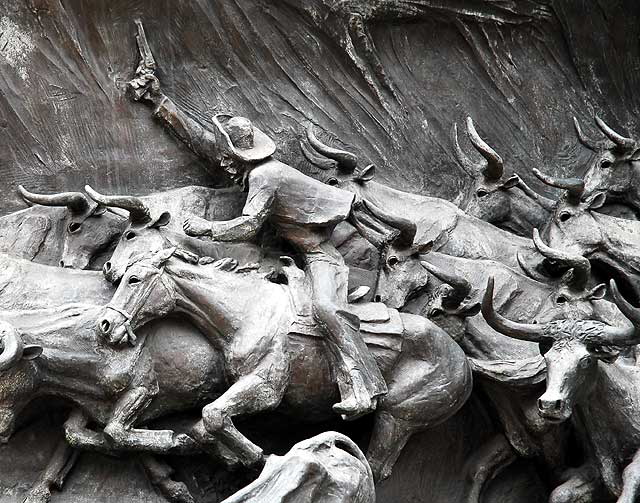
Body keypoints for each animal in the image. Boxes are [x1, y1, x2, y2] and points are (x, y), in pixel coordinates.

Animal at [96, 250, 476, 482]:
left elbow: (213, 415)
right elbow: (201, 426)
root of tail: (462, 361)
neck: (248, 309)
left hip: (397, 419)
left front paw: (257, 457)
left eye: (134, 279)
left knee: (374, 466)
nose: (105, 325)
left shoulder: (265, 389)